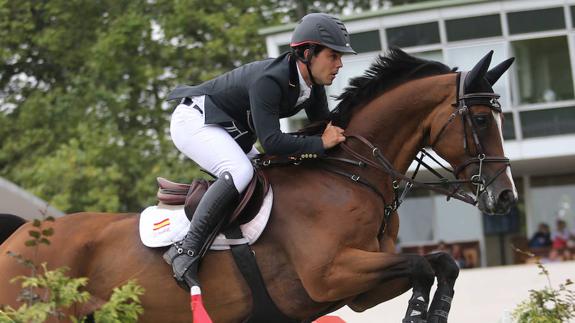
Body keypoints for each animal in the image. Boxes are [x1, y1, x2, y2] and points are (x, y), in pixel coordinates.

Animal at [0, 49, 520, 322]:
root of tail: (18, 235)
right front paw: (417, 312)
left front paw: (434, 310)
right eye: (479, 119)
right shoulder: (331, 273)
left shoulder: (353, 290)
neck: (348, 176)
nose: (506, 196)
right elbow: (421, 265)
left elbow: (441, 263)